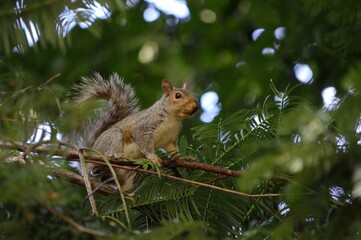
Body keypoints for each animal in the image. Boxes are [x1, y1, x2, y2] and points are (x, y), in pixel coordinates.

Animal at [69, 72, 200, 192]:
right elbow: (142, 139)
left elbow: (174, 153)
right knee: (105, 154)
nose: (195, 106)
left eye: (195, 95)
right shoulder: (144, 125)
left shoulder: (170, 140)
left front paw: (185, 159)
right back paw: (113, 156)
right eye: (178, 95)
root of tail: (91, 153)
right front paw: (153, 157)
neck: (173, 118)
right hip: (112, 137)